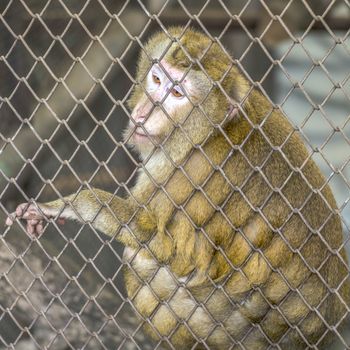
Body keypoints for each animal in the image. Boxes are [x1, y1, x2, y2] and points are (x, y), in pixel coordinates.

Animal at [5, 26, 350, 348]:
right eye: (157, 80)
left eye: (177, 93)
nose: (145, 112)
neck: (210, 130)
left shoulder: (191, 169)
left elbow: (156, 237)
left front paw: (70, 204)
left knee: (141, 259)